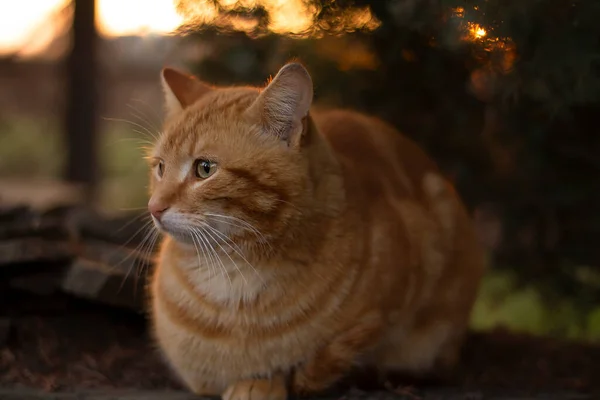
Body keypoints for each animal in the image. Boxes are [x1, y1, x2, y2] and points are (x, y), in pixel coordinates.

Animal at [148, 62, 486, 400]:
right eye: (160, 167)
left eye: (205, 169)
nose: (154, 207)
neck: (230, 278)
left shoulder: (392, 299)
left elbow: (322, 362)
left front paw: (265, 381)